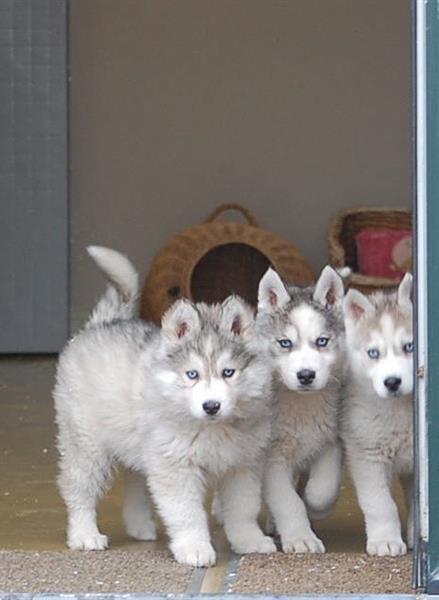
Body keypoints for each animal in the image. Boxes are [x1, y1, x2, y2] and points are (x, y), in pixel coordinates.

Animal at [54, 246, 276, 564]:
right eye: (192, 374)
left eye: (228, 372)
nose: (211, 406)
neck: (212, 428)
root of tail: (103, 323)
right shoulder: (176, 466)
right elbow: (187, 514)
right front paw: (195, 548)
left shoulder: (242, 465)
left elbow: (243, 509)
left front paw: (250, 541)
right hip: (87, 445)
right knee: (79, 489)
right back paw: (84, 534)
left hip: (137, 444)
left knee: (136, 480)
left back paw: (140, 526)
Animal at [258, 266, 348, 552]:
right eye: (285, 343)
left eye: (322, 341)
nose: (306, 375)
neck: (302, 407)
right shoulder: (272, 458)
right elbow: (287, 501)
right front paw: (301, 538)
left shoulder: (330, 441)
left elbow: (321, 491)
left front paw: (315, 509)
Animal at [342, 274, 414, 556]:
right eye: (373, 353)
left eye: (410, 346)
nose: (392, 382)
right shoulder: (367, 453)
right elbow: (381, 503)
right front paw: (385, 540)